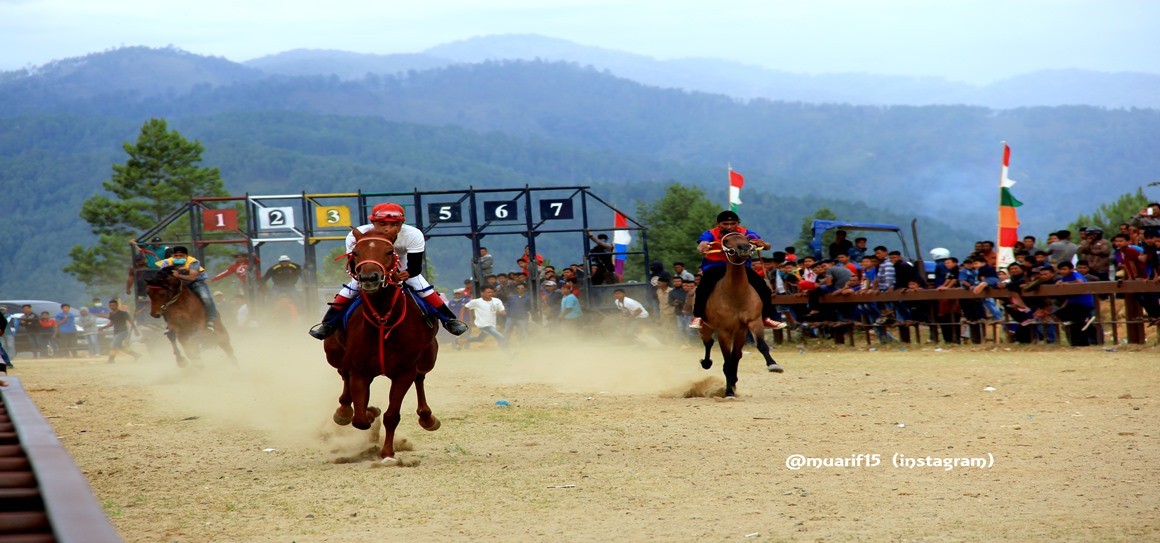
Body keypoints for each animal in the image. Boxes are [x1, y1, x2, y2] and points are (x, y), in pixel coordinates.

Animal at [324, 227, 440, 464]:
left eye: (388, 252)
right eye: (355, 253)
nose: (369, 278)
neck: (383, 320)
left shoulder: (404, 371)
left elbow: (391, 415)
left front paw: (387, 453)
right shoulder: (359, 370)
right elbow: (360, 418)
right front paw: (368, 412)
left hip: (428, 358)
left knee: (421, 378)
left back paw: (427, 417)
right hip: (334, 354)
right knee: (344, 376)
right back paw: (344, 410)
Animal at [691, 230, 784, 396]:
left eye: (747, 238)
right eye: (726, 241)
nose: (744, 248)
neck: (736, 294)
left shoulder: (753, 322)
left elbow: (761, 345)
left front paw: (773, 365)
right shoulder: (723, 331)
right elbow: (727, 361)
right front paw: (729, 392)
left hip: (740, 332)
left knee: (737, 355)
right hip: (706, 328)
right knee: (708, 343)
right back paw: (707, 363)